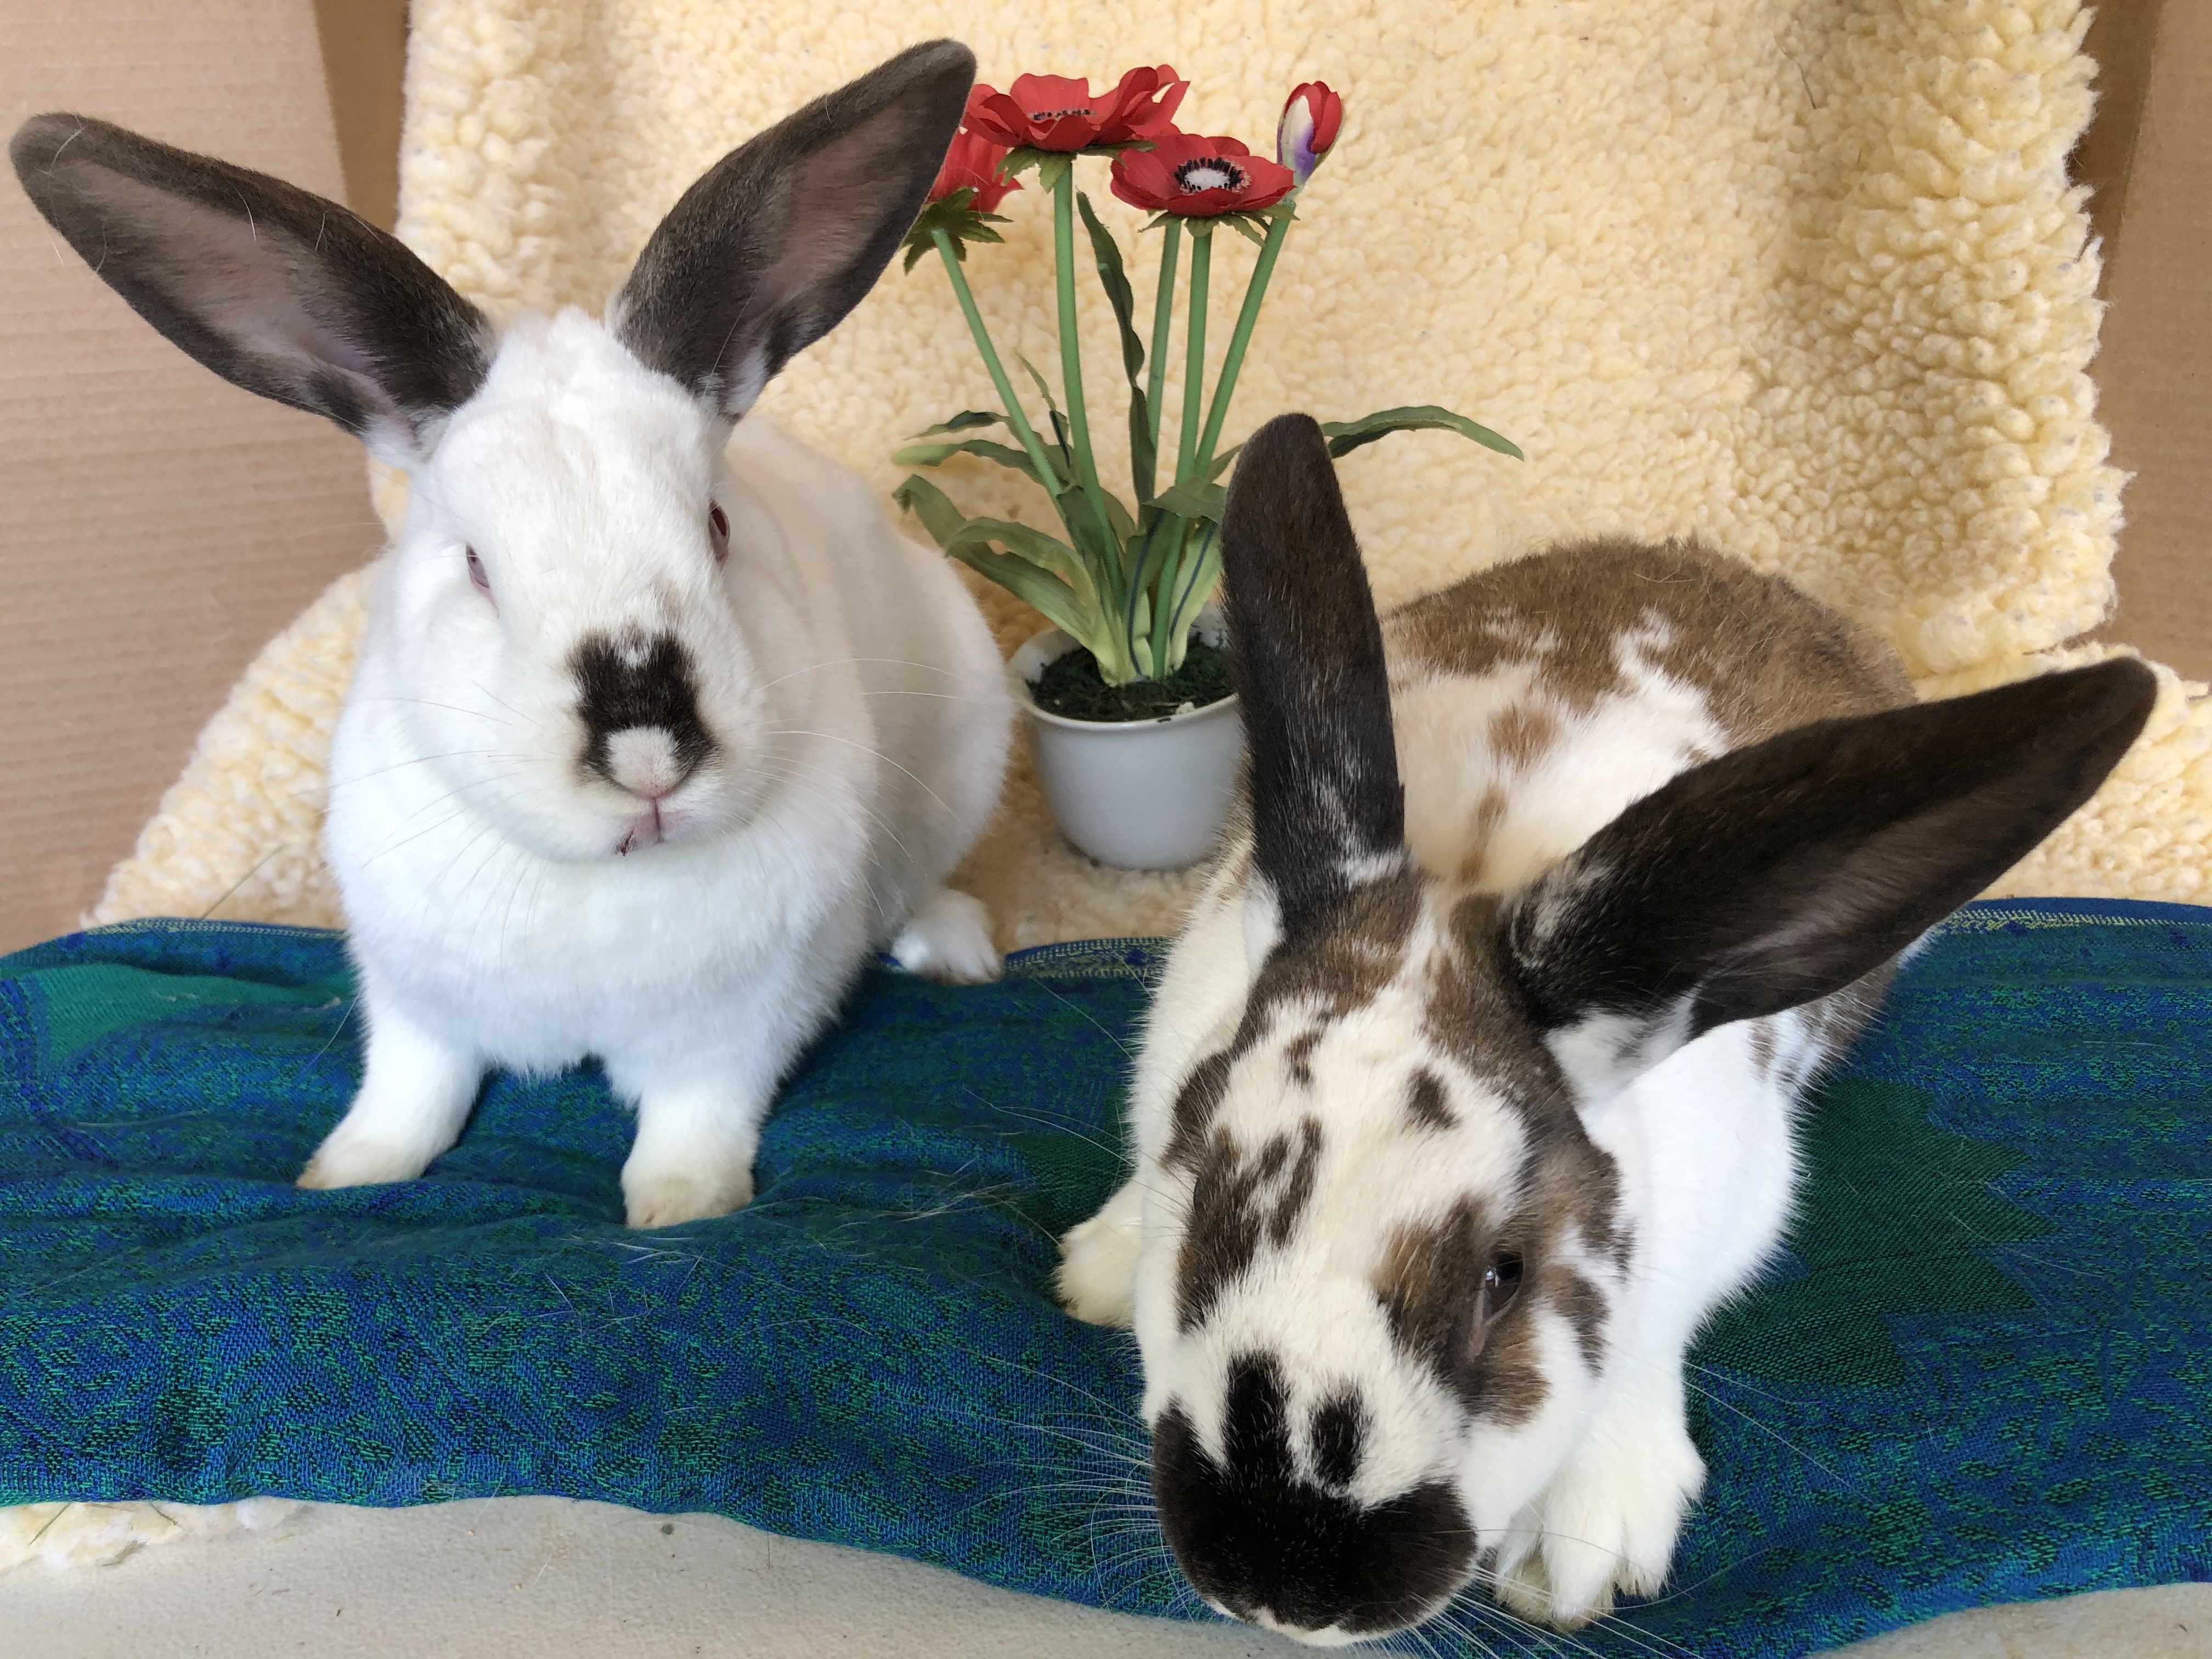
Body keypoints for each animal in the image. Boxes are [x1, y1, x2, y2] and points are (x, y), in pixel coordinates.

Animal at [12, 41, 1014, 1230]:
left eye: (717, 527)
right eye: (476, 567)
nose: (647, 759)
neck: (594, 877)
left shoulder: (736, 1029)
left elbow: (693, 1121)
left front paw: (680, 1210)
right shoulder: (413, 1002)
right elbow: (409, 1092)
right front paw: (344, 1173)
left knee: (926, 882)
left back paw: (958, 952)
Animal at [1054, 413, 2155, 1640]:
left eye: (1507, 1274)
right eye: (1203, 1202)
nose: (1282, 1591)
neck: (1480, 870)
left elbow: (1644, 1352)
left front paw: (1578, 1549)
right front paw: (1100, 1263)